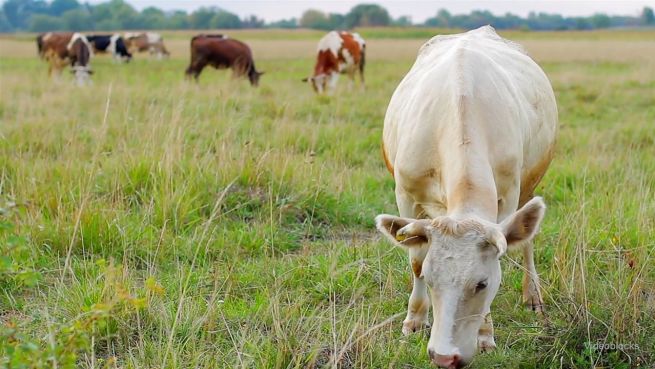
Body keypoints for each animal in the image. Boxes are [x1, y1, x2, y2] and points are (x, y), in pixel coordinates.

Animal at [376, 25, 556, 366]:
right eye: (432, 279)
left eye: (482, 284)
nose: (445, 357)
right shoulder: (405, 194)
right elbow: (415, 259)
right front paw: (414, 320)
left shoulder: (508, 194)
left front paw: (485, 334)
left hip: (529, 184)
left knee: (527, 243)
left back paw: (533, 296)